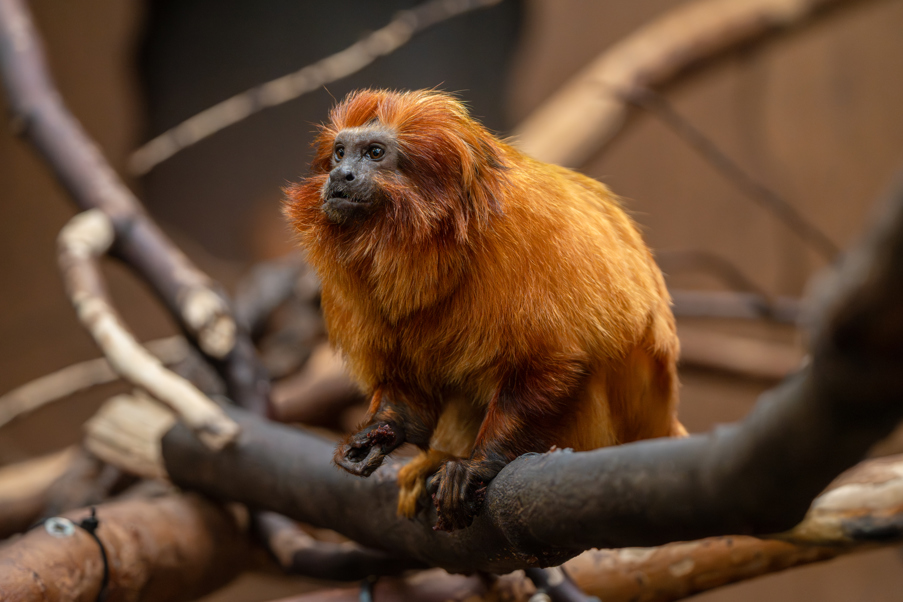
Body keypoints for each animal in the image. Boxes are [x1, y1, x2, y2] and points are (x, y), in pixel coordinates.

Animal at [285, 89, 684, 532]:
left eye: (374, 153)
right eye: (340, 153)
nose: (341, 176)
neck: (434, 243)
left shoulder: (529, 237)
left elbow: (552, 361)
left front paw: (478, 466)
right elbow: (406, 380)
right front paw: (380, 432)